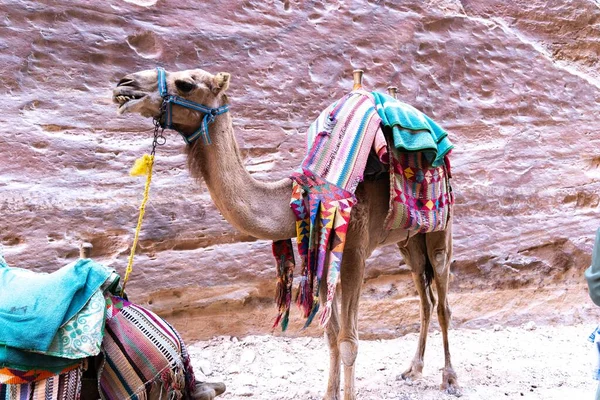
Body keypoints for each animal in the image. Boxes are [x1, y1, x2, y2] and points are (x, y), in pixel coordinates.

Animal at [112, 68, 460, 400]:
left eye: (185, 84)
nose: (124, 85)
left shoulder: (353, 254)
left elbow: (348, 340)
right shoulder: (323, 254)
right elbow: (330, 335)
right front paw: (329, 395)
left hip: (441, 227)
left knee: (443, 300)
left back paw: (450, 379)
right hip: (408, 239)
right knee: (426, 297)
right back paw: (413, 370)